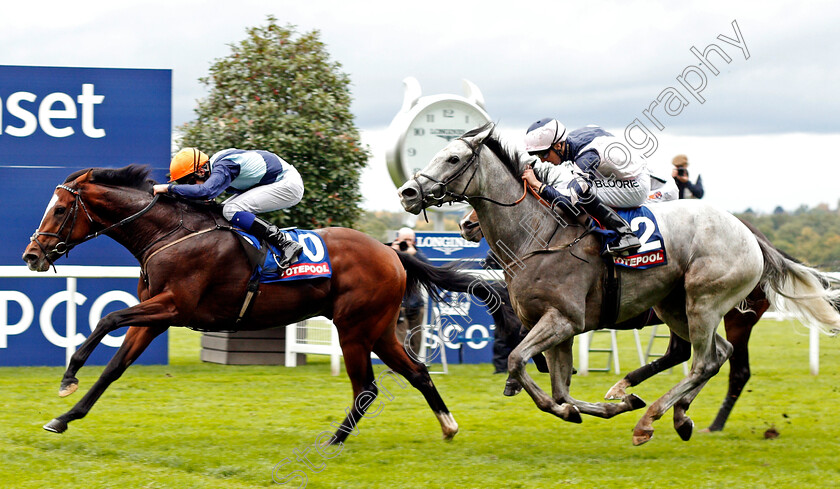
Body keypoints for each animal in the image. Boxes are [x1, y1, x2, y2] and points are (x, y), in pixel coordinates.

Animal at [21, 164, 492, 442]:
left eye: (60, 209)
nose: (31, 255)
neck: (170, 233)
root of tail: (392, 252)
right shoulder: (156, 316)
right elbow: (115, 367)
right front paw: (64, 417)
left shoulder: (174, 306)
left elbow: (107, 318)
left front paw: (68, 377)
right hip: (377, 328)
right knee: (416, 371)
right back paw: (448, 426)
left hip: (354, 329)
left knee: (367, 388)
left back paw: (334, 441)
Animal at [460, 207, 776, 430]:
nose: (466, 224)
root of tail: (755, 240)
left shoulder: (563, 317)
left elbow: (524, 352)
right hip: (677, 309)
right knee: (702, 353)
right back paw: (666, 406)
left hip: (721, 313)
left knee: (724, 366)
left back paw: (700, 421)